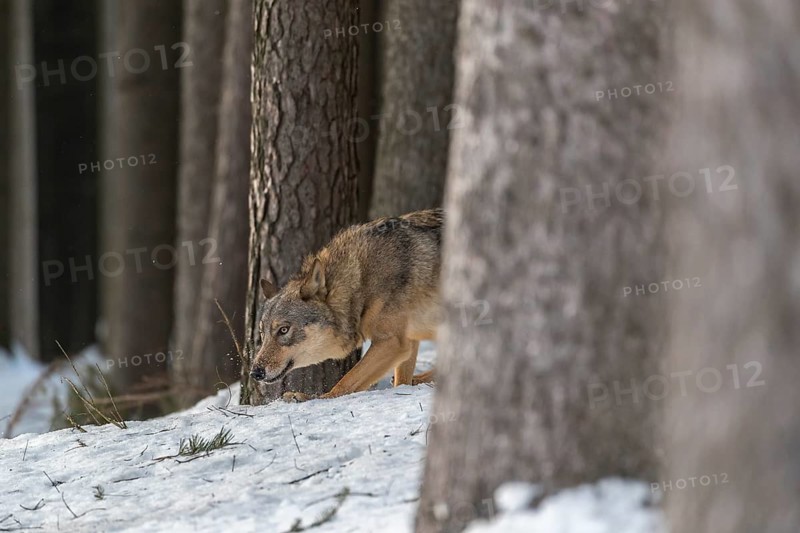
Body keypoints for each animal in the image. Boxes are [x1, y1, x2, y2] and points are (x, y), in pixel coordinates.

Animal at [249, 208, 442, 401]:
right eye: (262, 333)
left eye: (283, 330)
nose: (255, 373)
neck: (361, 284)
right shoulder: (409, 341)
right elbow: (401, 382)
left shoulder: (392, 342)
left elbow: (345, 382)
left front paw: (315, 398)